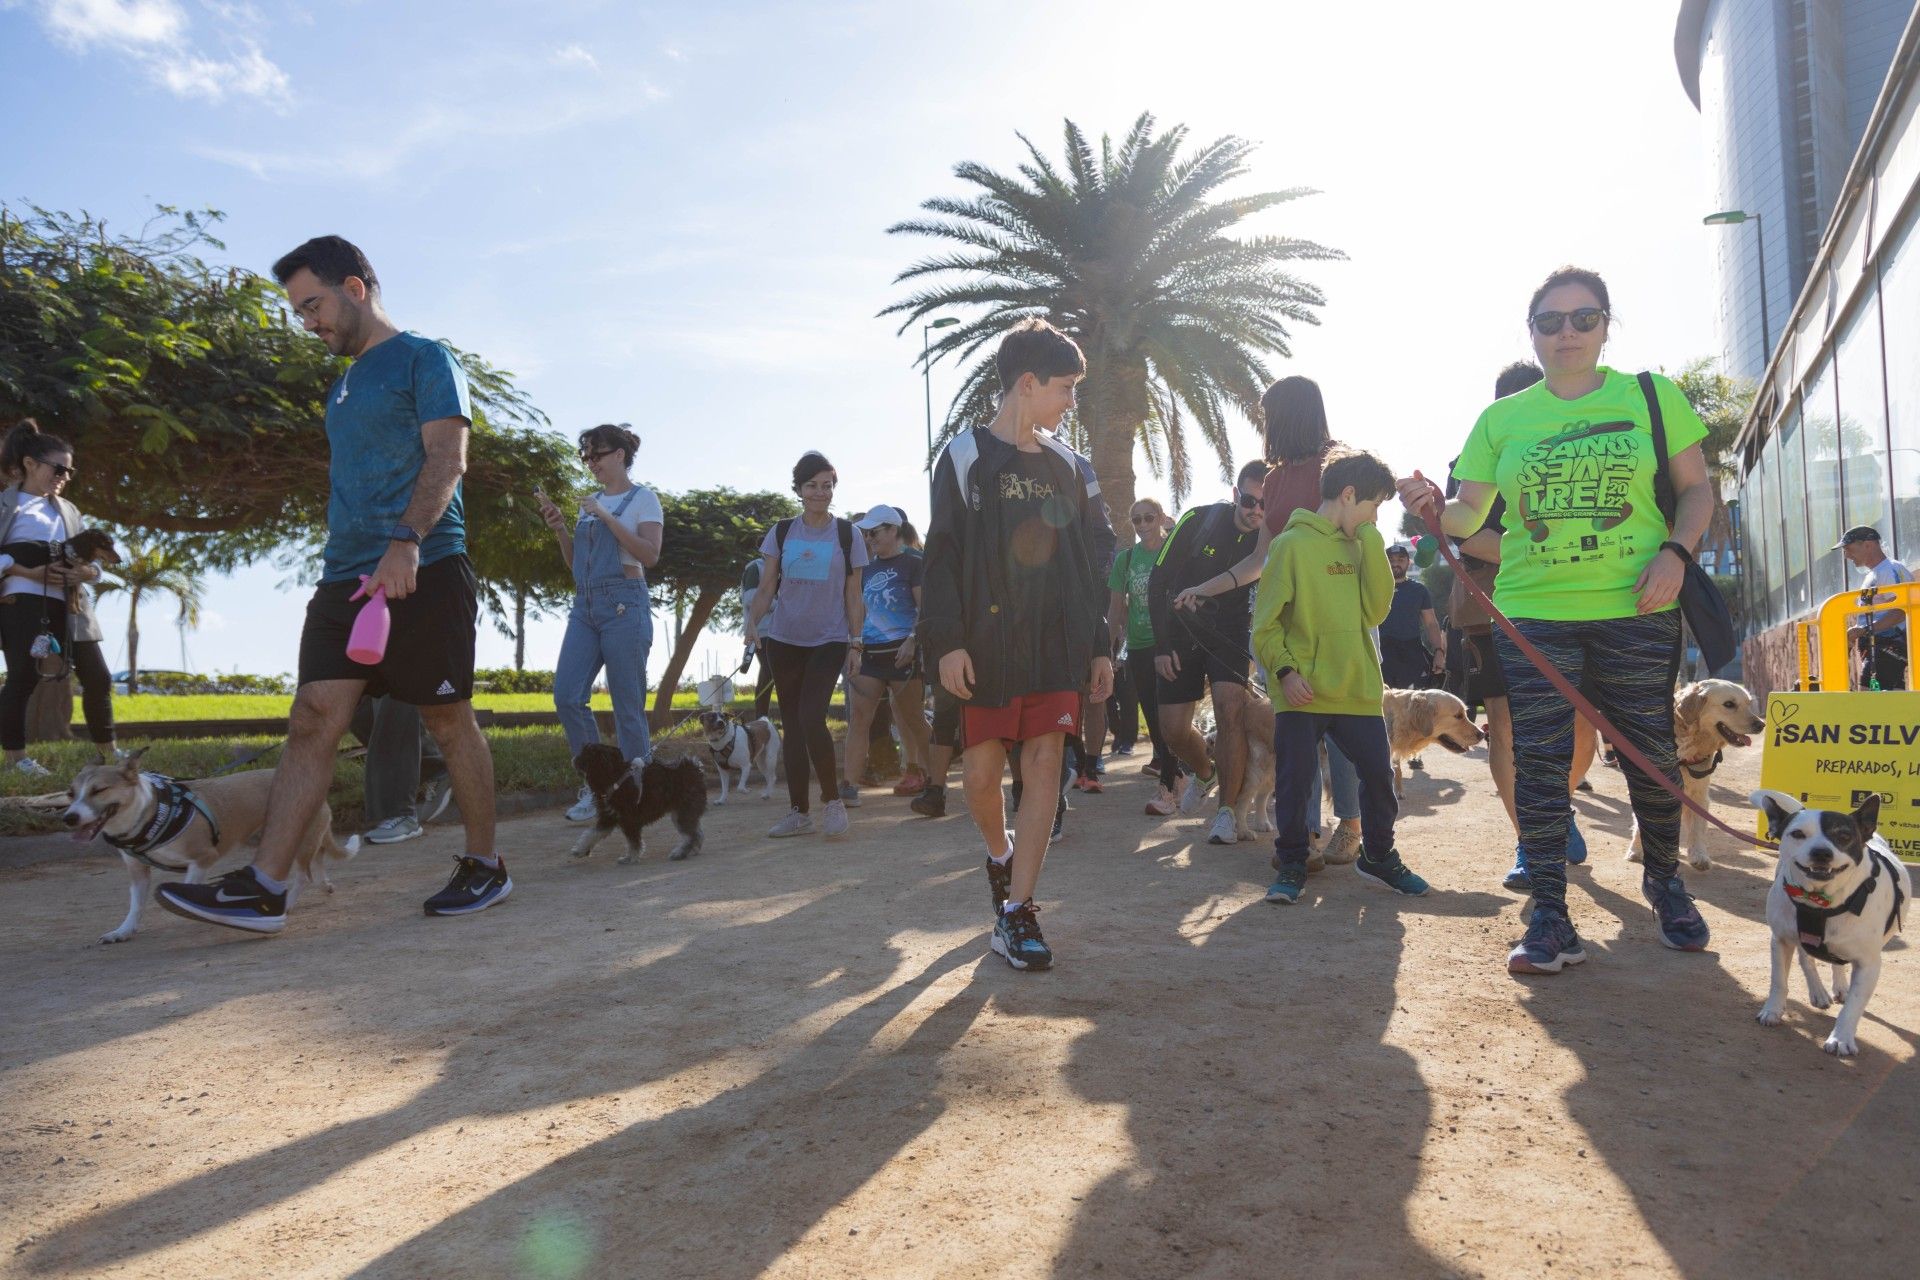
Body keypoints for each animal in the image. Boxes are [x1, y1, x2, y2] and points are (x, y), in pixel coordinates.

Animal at [62, 756, 360, 948]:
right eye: (70, 794)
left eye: (99, 790)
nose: (69, 817)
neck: (153, 813)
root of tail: (321, 796)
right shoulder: (138, 872)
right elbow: (135, 906)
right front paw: (122, 931)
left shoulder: (203, 858)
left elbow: (189, 884)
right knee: (316, 864)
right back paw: (324, 884)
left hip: (298, 839)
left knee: (303, 876)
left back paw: (289, 902)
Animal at [576, 744, 714, 867]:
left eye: (586, 754)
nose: (574, 758)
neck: (615, 778)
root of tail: (694, 769)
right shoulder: (609, 817)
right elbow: (592, 834)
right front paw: (580, 850)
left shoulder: (629, 820)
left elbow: (633, 842)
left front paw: (631, 858)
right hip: (684, 812)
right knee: (697, 832)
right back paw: (693, 849)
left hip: (683, 813)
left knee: (691, 835)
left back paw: (679, 853)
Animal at [1620, 679, 1766, 871]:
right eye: (1729, 704)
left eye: (1748, 704)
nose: (1761, 725)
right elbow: (1642, 823)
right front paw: (1636, 850)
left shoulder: (1699, 794)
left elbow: (1697, 828)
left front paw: (1699, 855)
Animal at [1758, 790, 1904, 1059]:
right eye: (1798, 834)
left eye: (1844, 836)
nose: (1821, 852)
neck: (1821, 901)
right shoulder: (1781, 940)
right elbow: (1779, 981)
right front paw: (1772, 1010)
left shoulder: (1868, 964)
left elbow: (1853, 1006)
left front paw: (1841, 1038)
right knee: (1808, 959)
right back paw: (1818, 992)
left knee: (1837, 963)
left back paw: (1839, 987)